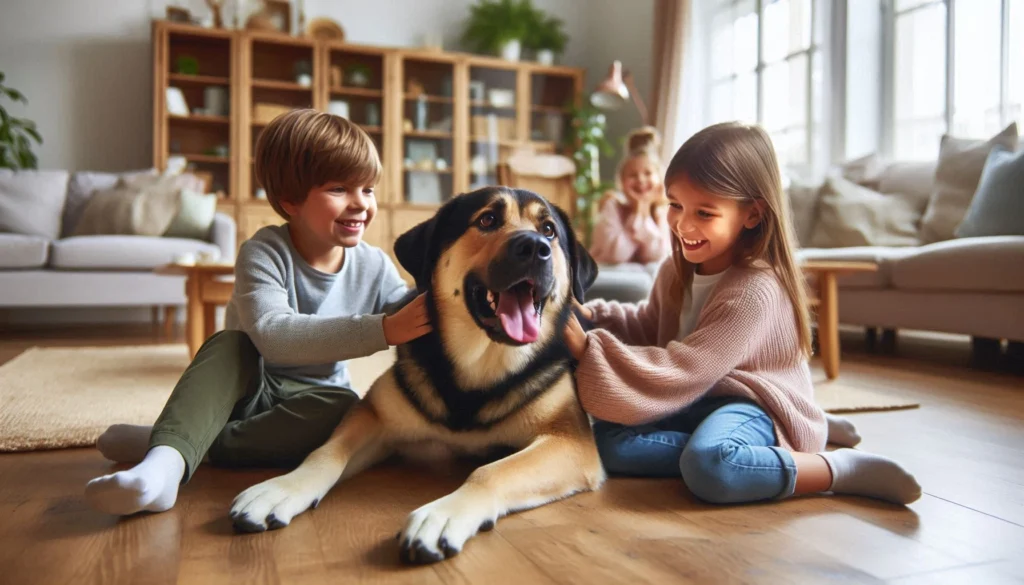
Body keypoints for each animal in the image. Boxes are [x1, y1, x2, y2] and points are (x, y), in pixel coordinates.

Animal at [228, 186, 602, 561]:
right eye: (487, 219)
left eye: (549, 230)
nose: (536, 247)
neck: (479, 367)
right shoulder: (375, 415)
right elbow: (326, 452)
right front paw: (281, 488)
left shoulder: (569, 441)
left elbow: (490, 472)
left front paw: (443, 515)